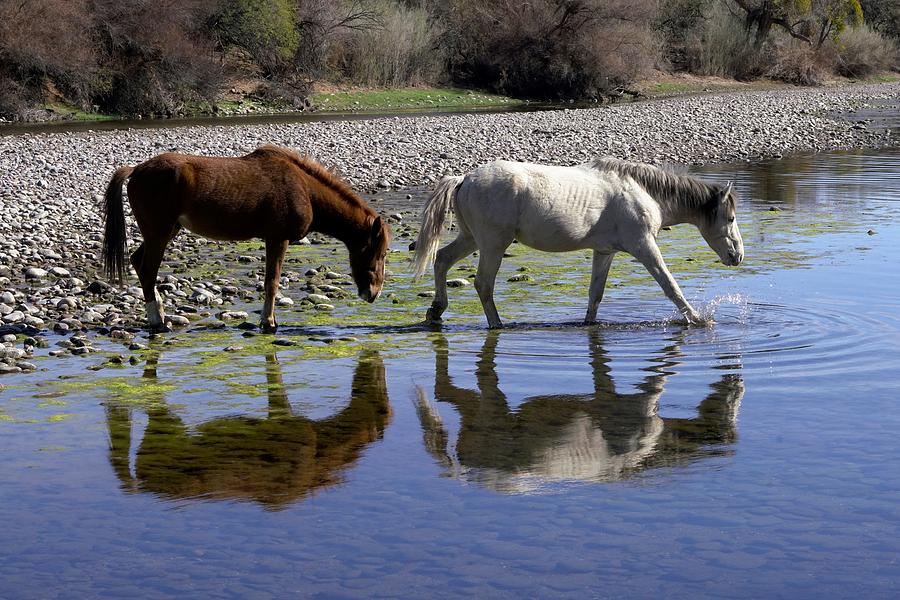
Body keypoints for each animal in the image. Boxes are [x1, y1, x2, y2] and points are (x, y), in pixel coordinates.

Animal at [102, 145, 390, 332]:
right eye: (381, 252)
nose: (373, 293)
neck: (304, 188)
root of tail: (136, 170)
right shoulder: (277, 238)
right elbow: (272, 282)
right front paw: (269, 322)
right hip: (159, 233)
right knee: (148, 270)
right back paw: (158, 322)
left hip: (166, 231)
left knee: (139, 263)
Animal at [414, 157, 744, 328]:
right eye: (729, 219)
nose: (737, 256)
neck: (643, 192)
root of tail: (464, 179)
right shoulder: (644, 247)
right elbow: (670, 286)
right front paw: (698, 319)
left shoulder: (604, 252)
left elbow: (595, 294)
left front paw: (588, 324)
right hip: (493, 245)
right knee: (483, 284)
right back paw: (497, 324)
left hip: (471, 239)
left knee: (442, 259)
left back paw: (436, 310)